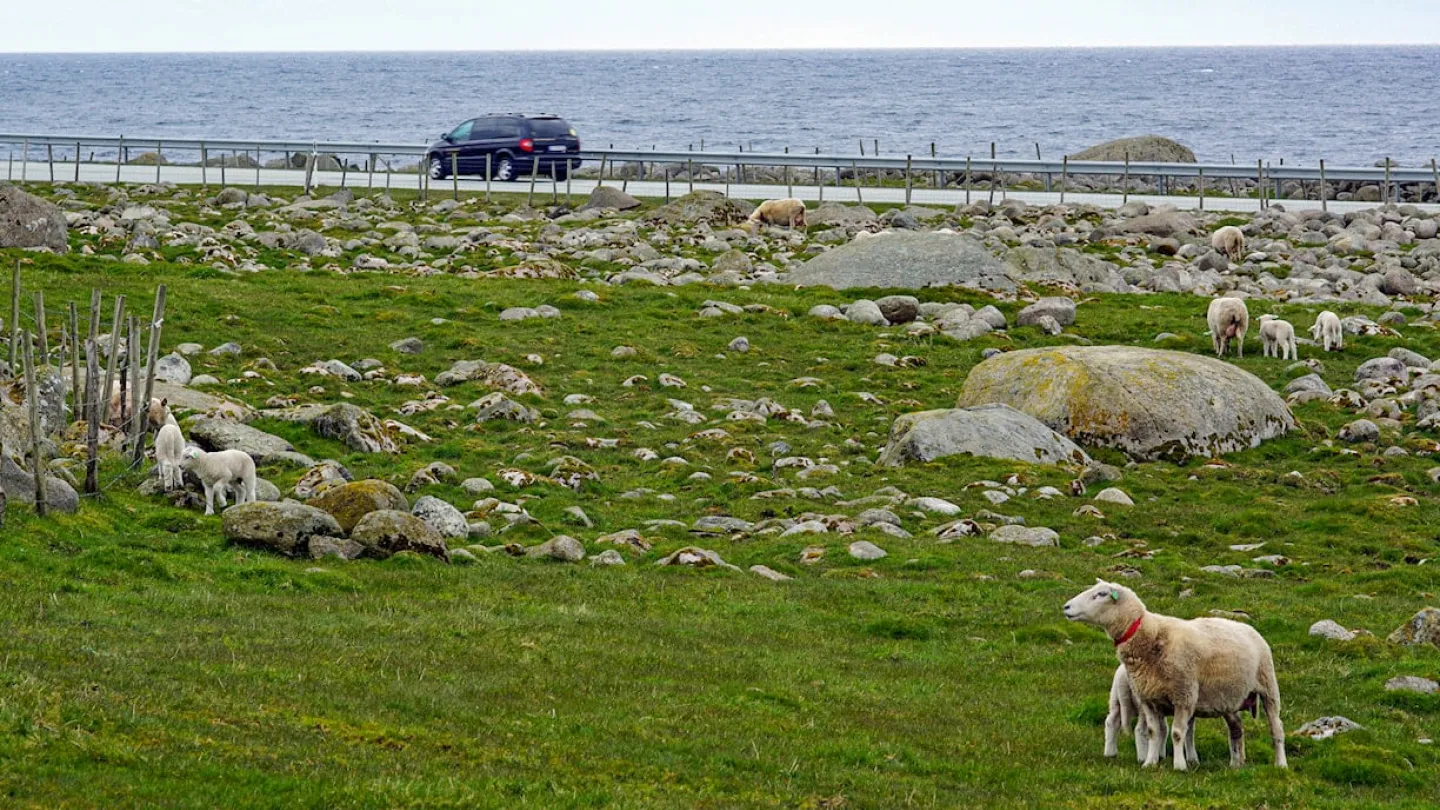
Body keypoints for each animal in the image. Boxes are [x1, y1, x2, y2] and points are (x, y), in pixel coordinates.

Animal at [1065, 573, 1290, 766]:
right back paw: (1236, 764)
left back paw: (1280, 764)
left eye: (1101, 594)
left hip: (1268, 686)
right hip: (1227, 697)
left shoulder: (1184, 695)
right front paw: (1150, 763)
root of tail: (1248, 628)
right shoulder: (1148, 697)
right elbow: (1153, 731)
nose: (1066, 607)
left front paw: (1179, 766)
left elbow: (1177, 733)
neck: (1151, 635)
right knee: (1236, 729)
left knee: (1277, 729)